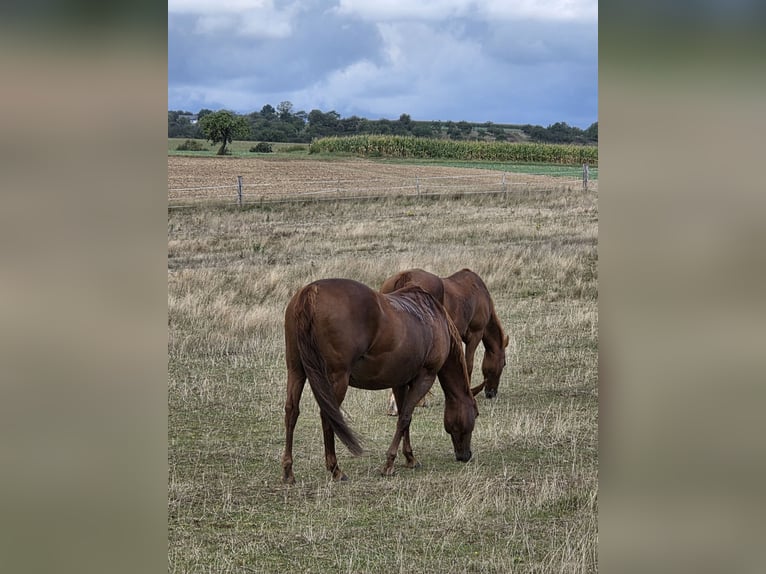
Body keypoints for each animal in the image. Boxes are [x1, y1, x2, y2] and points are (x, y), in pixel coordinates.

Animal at [282, 278, 480, 484]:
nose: (466, 455)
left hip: (296, 371)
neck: (433, 317)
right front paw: (389, 464)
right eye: (476, 413)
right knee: (328, 415)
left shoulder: (400, 382)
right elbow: (405, 417)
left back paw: (288, 471)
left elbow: (404, 418)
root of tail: (310, 291)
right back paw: (335, 469)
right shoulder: (425, 377)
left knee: (292, 412)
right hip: (336, 379)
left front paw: (409, 457)